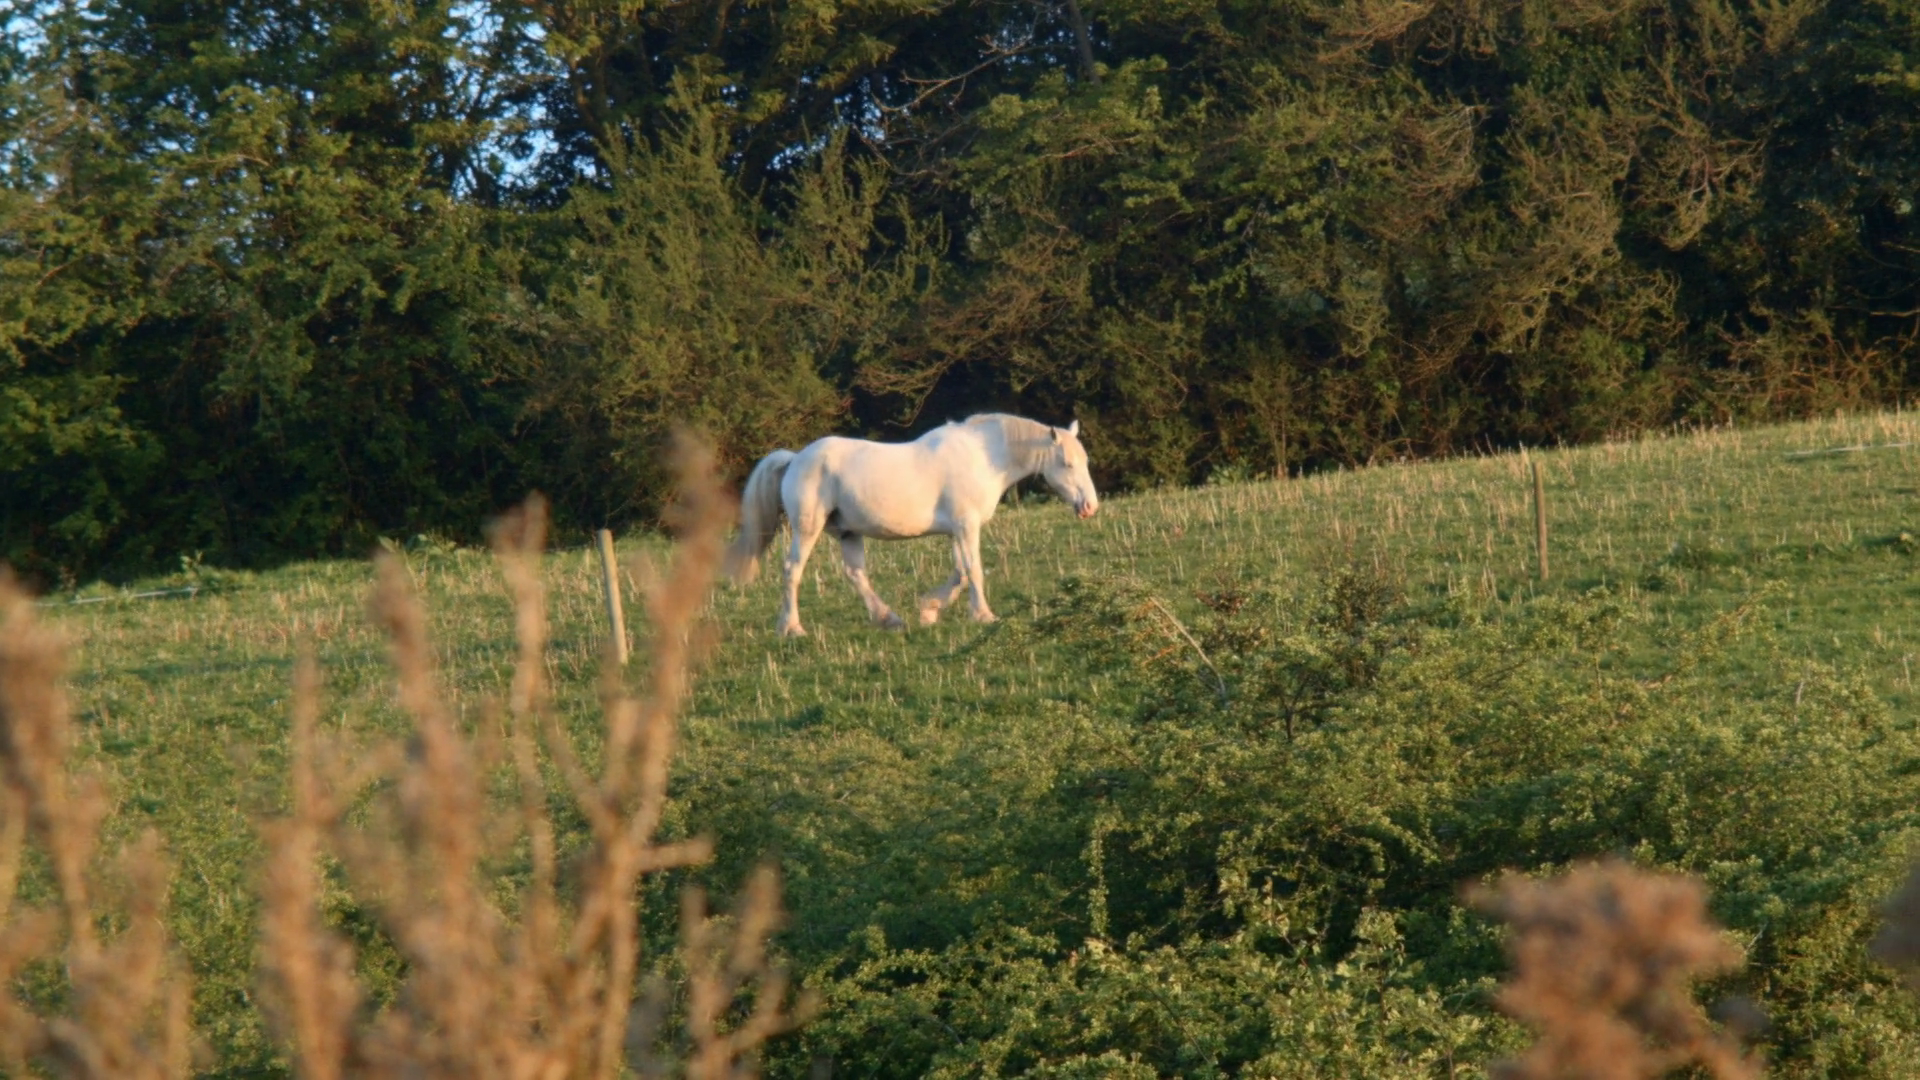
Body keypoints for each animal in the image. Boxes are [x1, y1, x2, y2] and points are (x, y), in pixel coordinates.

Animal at [725, 414, 1101, 637]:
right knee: (792, 570)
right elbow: (974, 571)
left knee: (856, 574)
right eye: (1067, 464)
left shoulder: (957, 531)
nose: (1089, 507)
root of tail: (795, 459)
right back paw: (792, 628)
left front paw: (929, 610)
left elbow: (960, 574)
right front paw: (983, 615)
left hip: (849, 532)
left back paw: (888, 619)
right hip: (807, 529)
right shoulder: (967, 527)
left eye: (1085, 461)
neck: (983, 457)